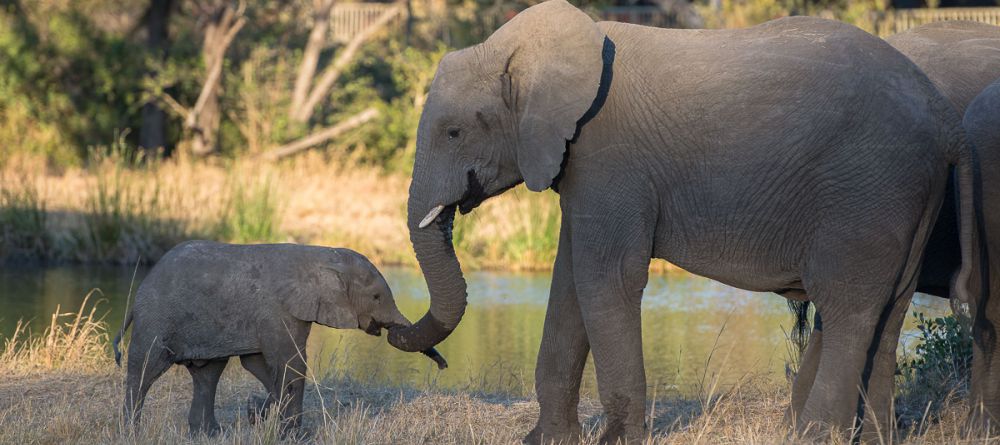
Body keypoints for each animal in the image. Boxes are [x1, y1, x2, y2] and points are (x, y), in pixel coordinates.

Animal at [110, 241, 450, 436]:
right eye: (377, 297)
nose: (444, 366)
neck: (321, 255)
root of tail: (138, 295)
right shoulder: (278, 310)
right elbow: (290, 364)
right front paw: (292, 435)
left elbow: (262, 365)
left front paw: (261, 413)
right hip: (156, 318)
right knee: (145, 369)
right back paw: (131, 431)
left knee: (208, 375)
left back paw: (209, 435)